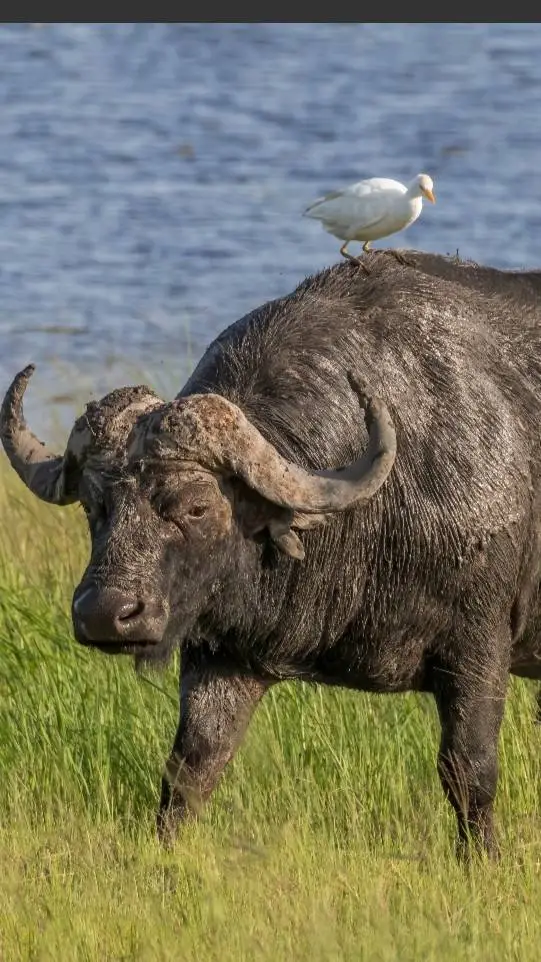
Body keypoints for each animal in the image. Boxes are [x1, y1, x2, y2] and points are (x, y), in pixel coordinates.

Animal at [3, 250, 541, 858]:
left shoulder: (478, 646)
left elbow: (468, 769)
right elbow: (190, 766)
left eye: (195, 506)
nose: (104, 614)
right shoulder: (222, 655)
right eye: (95, 505)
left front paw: (482, 858)